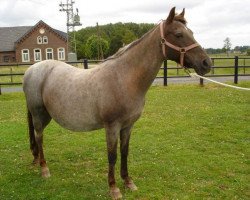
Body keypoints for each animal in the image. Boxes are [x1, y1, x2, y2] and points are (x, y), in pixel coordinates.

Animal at [23, 7, 211, 199]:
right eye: (179, 34)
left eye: (191, 32)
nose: (206, 63)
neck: (123, 78)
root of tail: (31, 70)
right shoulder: (112, 126)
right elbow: (112, 155)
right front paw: (114, 188)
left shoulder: (127, 126)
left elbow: (124, 152)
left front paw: (128, 181)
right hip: (39, 115)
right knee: (39, 137)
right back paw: (44, 169)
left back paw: (37, 161)